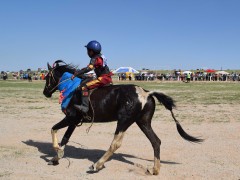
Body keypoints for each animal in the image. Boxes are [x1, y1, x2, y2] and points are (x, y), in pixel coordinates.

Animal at [43, 60, 202, 174]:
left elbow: (53, 129)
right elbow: (65, 138)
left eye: (48, 77)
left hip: (124, 121)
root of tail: (146, 93)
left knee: (116, 144)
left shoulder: (71, 118)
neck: (71, 88)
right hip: (143, 122)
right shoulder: (74, 121)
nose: (45, 92)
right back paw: (155, 169)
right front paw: (56, 157)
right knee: (156, 141)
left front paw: (56, 150)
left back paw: (97, 165)